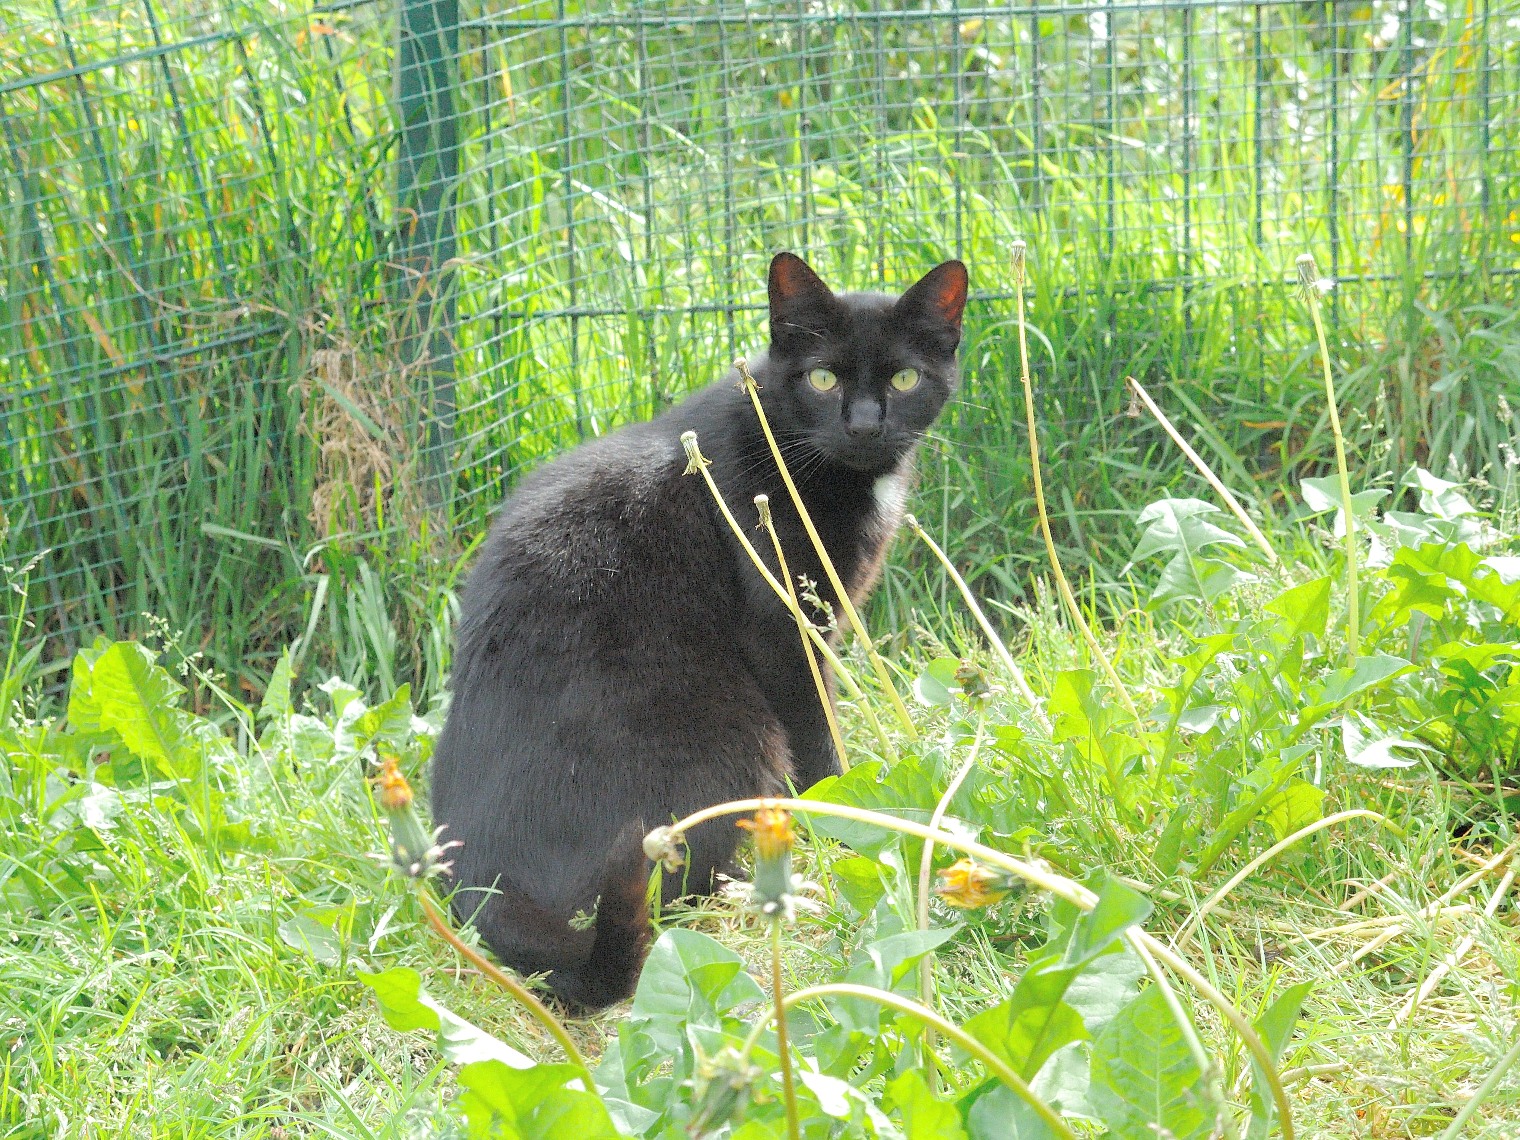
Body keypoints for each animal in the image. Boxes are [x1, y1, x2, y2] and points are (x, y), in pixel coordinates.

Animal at [429, 251, 968, 1009]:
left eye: (905, 378)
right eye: (823, 377)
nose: (864, 425)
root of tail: (479, 877)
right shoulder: (785, 634)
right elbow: (820, 738)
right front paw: (844, 819)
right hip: (732, 736)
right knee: (672, 891)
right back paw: (764, 885)